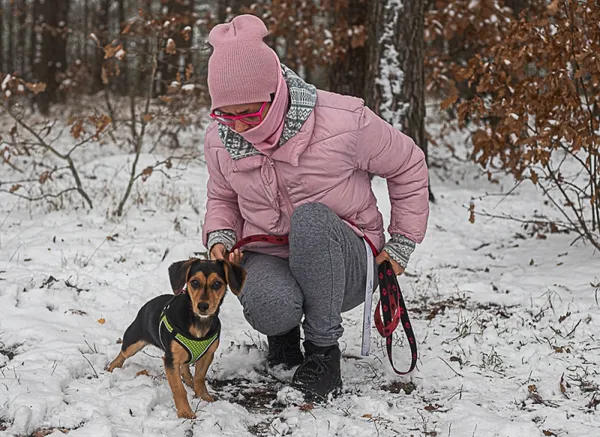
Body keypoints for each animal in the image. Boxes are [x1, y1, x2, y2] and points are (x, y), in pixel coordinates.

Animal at [106, 258, 245, 418]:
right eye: (194, 282)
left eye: (217, 284)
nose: (203, 306)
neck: (197, 321)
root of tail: (147, 305)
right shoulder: (170, 359)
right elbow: (178, 389)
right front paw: (185, 412)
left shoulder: (207, 355)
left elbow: (199, 378)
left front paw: (203, 396)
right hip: (133, 342)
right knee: (122, 354)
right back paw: (111, 369)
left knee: (185, 367)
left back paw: (189, 381)